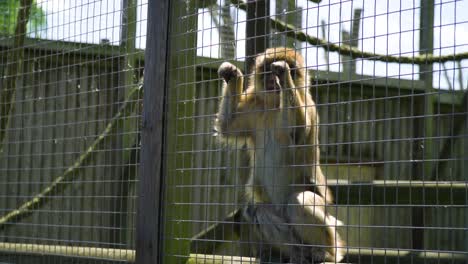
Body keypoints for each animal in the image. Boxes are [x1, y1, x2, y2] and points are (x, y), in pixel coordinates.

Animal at [215, 47, 344, 262]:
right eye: (267, 71)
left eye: (291, 69)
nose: (273, 80)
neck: (276, 105)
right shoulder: (254, 106)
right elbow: (227, 127)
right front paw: (232, 74)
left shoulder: (308, 105)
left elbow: (297, 131)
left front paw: (283, 74)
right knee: (256, 210)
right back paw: (296, 254)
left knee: (299, 201)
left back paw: (325, 253)